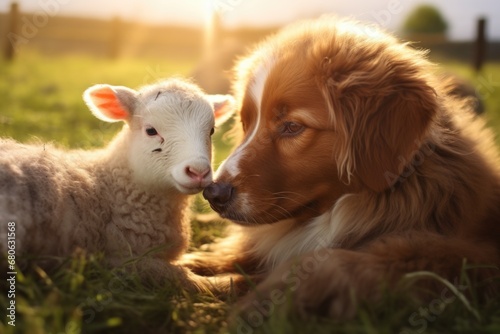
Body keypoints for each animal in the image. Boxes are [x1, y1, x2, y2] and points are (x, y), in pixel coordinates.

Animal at [0, 78, 234, 290]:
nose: (198, 171)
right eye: (151, 130)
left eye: (212, 131)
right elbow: (179, 276)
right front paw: (224, 282)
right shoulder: (119, 261)